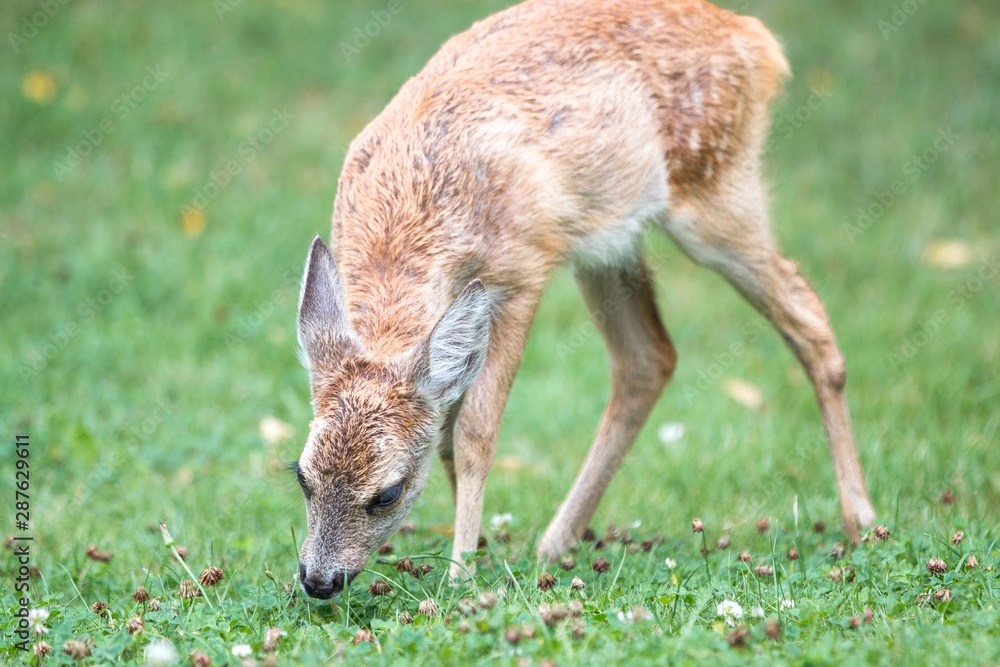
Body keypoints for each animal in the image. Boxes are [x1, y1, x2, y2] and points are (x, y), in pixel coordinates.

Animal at [293, 0, 876, 599]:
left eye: (388, 492)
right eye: (302, 476)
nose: (318, 579)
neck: (412, 213)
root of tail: (752, 37)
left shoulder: (521, 269)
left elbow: (475, 432)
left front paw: (461, 574)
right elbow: (448, 437)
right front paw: (475, 553)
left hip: (713, 196)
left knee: (807, 313)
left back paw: (862, 520)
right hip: (608, 244)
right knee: (649, 358)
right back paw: (556, 541)